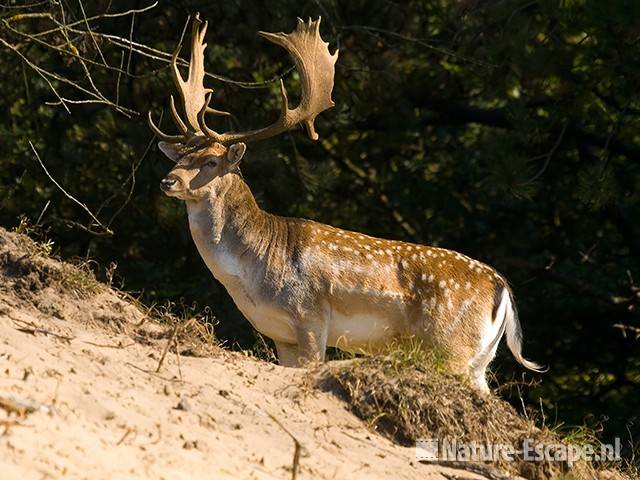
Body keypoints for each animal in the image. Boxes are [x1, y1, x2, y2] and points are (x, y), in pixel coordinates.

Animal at [148, 14, 544, 394]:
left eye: (212, 162)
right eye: (181, 155)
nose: (168, 180)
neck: (253, 269)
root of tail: (503, 288)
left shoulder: (310, 316)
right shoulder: (280, 334)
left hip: (452, 347)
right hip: (479, 360)